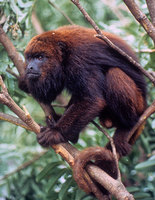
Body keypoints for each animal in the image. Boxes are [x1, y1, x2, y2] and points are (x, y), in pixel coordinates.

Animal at [19, 24, 147, 193]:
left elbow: (92, 100)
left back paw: (127, 127)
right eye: (29, 58)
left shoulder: (78, 60)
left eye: (40, 57)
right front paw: (24, 82)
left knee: (114, 74)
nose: (30, 67)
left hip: (138, 103)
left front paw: (56, 133)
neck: (63, 54)